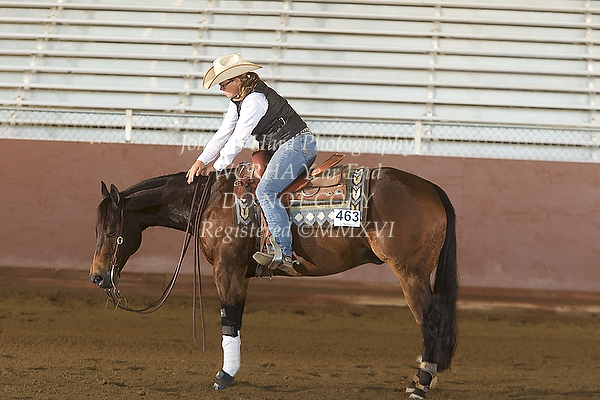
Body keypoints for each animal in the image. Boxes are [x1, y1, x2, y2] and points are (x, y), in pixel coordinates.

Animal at [90, 163, 458, 399]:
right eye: (96, 229)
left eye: (110, 231)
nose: (97, 276)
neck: (214, 202)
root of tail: (430, 188)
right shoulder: (240, 273)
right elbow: (235, 320)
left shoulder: (227, 269)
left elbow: (229, 319)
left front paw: (224, 377)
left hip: (411, 274)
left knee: (429, 321)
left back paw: (421, 384)